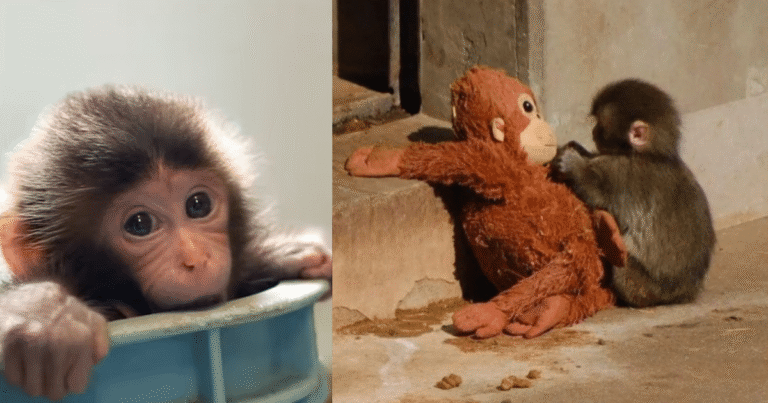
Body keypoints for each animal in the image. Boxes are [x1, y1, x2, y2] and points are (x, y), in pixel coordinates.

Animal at [549, 78, 715, 308]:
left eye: (600, 125)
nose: (593, 132)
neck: (651, 155)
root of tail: (682, 295)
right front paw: (579, 150)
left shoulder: (620, 173)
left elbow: (595, 192)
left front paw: (573, 164)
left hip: (643, 288)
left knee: (622, 268)